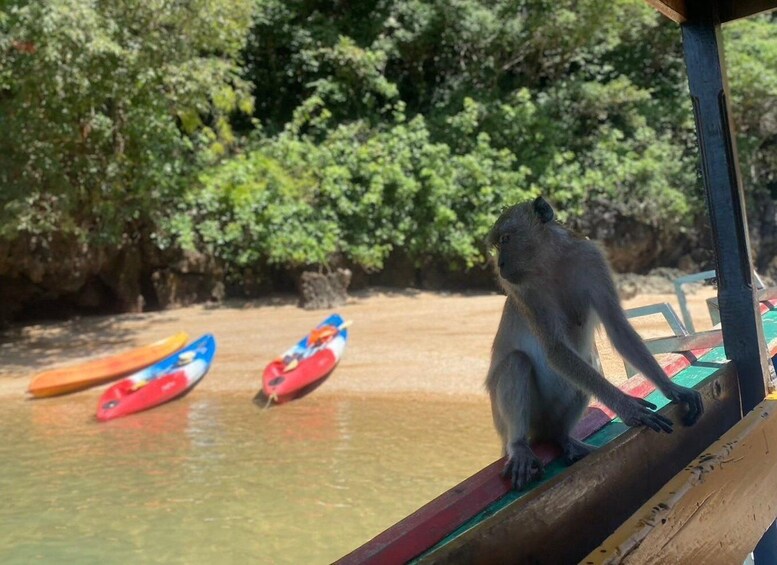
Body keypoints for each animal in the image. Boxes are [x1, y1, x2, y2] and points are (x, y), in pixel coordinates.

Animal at [484, 197, 704, 490]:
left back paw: (562, 437)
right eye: (498, 244)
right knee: (517, 362)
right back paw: (519, 446)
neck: (552, 262)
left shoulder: (591, 259)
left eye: (506, 239)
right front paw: (627, 407)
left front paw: (671, 388)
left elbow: (618, 328)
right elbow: (556, 350)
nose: (499, 264)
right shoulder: (524, 291)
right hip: (511, 422)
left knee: (589, 364)